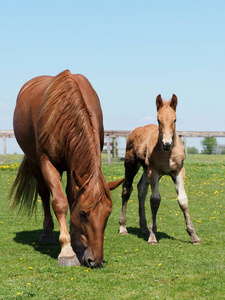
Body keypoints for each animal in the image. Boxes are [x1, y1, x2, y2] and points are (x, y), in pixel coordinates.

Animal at [119, 95, 200, 245]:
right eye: (158, 119)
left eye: (175, 119)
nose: (167, 144)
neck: (167, 153)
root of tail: (136, 130)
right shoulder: (154, 172)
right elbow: (155, 200)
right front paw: (152, 237)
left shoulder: (178, 172)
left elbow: (183, 200)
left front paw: (194, 236)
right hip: (132, 165)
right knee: (127, 189)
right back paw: (123, 227)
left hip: (146, 170)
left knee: (141, 189)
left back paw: (144, 228)